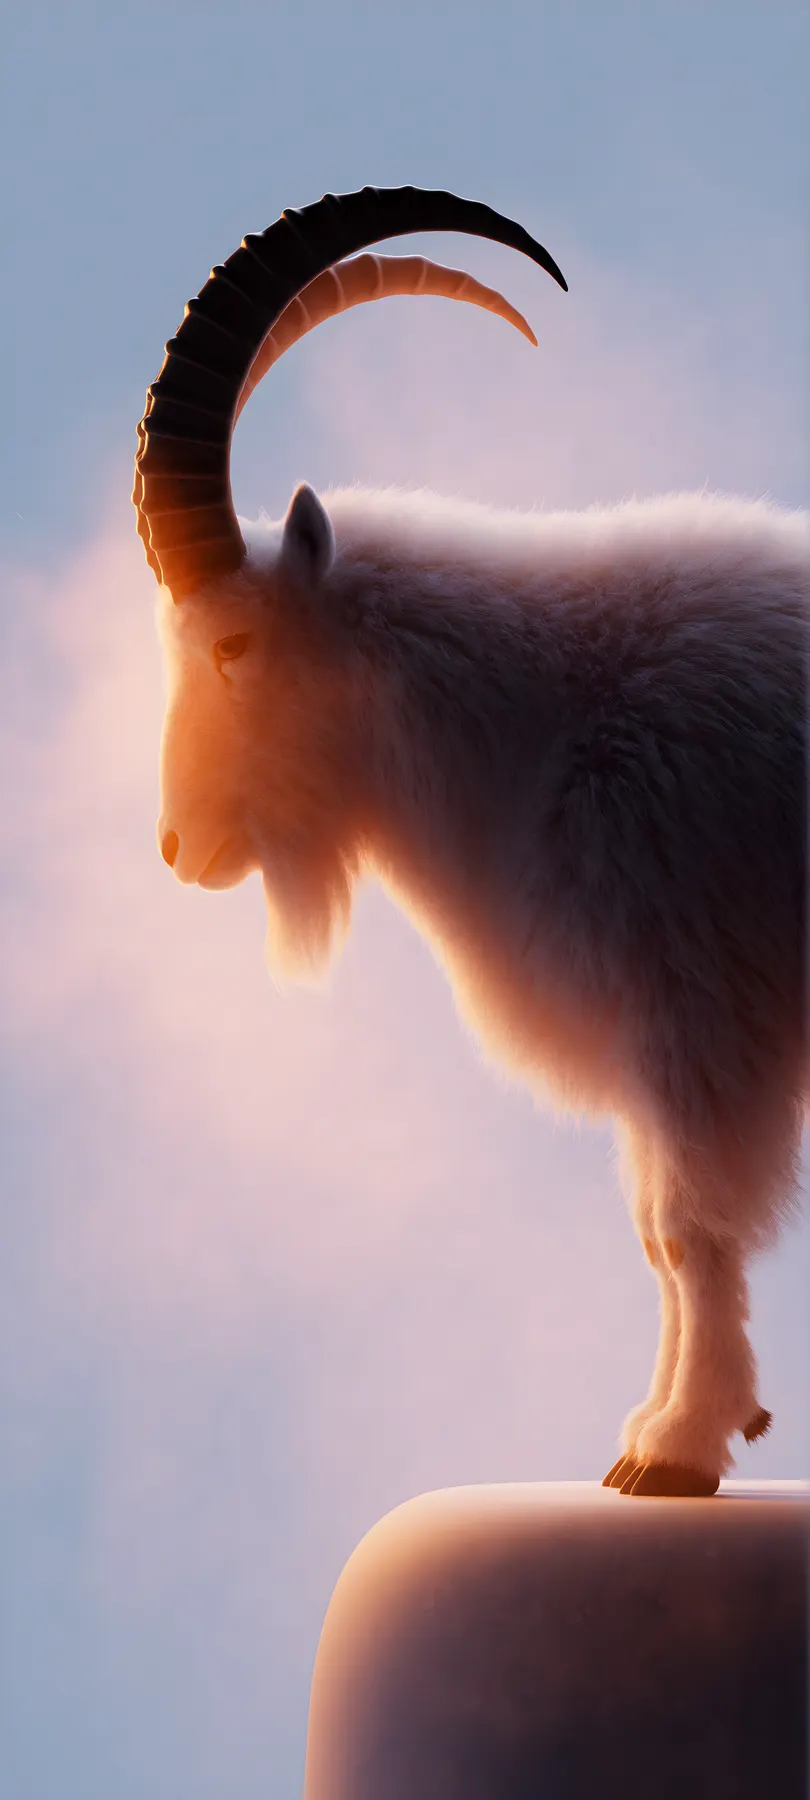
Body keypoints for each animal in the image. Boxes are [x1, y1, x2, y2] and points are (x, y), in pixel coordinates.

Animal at [134, 185, 807, 1498]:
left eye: (234, 644)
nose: (182, 846)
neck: (549, 713)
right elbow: (657, 1235)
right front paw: (655, 1429)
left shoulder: (697, 1021)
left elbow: (690, 1227)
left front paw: (681, 1450)